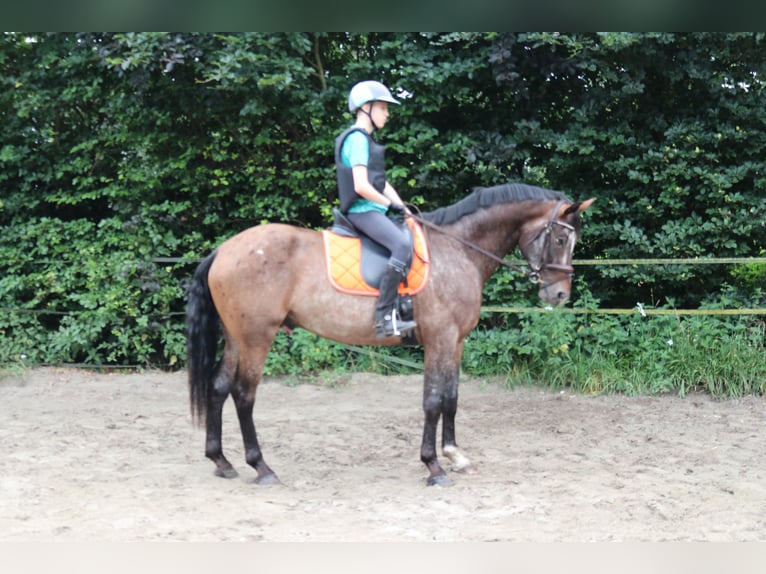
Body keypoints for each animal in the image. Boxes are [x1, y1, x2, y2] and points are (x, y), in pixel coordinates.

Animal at [186, 183, 592, 486]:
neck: (457, 249)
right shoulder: (440, 339)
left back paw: (221, 461)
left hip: (236, 338)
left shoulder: (456, 341)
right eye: (560, 240)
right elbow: (432, 401)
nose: (559, 295)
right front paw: (433, 465)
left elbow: (451, 398)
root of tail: (223, 250)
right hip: (256, 338)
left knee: (218, 387)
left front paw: (455, 454)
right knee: (243, 394)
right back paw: (261, 467)